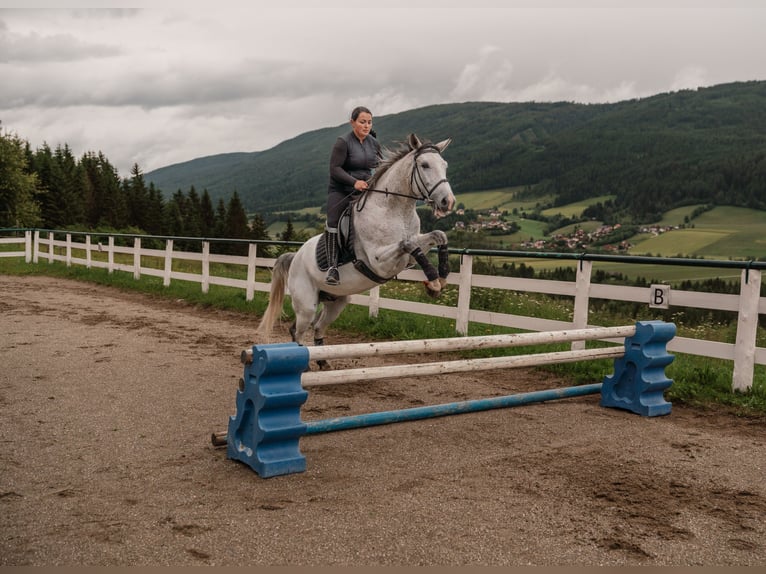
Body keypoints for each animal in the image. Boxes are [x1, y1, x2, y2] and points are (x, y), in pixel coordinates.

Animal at [258, 133, 456, 364]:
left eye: (445, 165)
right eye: (424, 165)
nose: (448, 202)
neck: (395, 210)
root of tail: (295, 257)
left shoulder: (409, 255)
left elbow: (438, 235)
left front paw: (441, 277)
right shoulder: (379, 262)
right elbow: (408, 244)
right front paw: (433, 281)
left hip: (336, 302)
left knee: (317, 327)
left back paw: (323, 361)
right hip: (306, 304)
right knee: (299, 331)